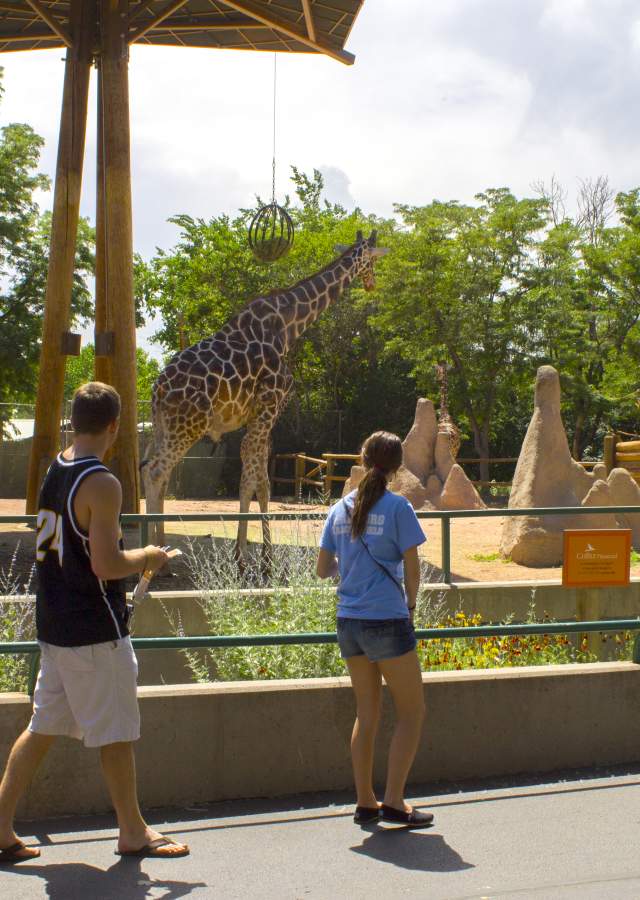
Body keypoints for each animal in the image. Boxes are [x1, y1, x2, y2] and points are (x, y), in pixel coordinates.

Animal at [142, 232, 388, 568]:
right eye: (373, 260)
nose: (372, 283)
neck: (288, 325)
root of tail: (158, 389)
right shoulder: (270, 408)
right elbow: (255, 481)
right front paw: (249, 558)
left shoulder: (257, 416)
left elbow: (259, 479)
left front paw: (256, 556)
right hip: (188, 426)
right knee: (155, 472)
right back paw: (157, 558)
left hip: (162, 427)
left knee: (156, 473)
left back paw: (161, 549)